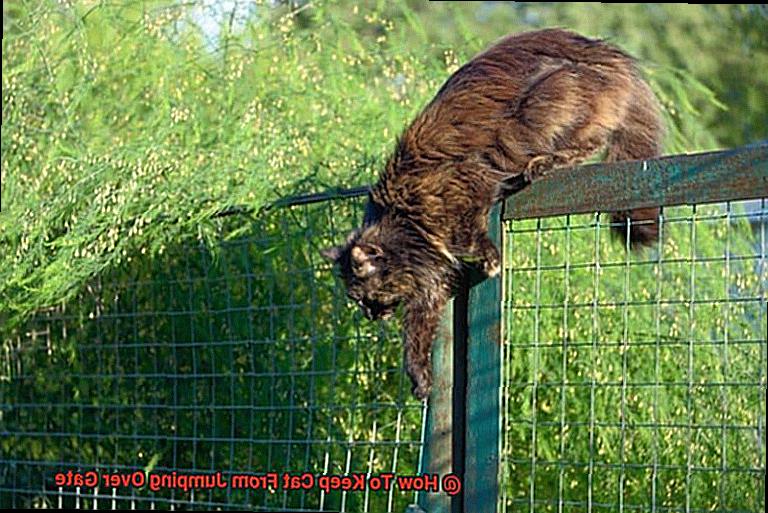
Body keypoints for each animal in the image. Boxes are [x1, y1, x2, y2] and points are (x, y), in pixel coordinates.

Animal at [320, 29, 664, 400]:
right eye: (357, 300)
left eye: (366, 296)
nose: (371, 315)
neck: (403, 221)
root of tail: (609, 54)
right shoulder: (431, 282)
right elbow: (416, 336)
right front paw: (420, 379)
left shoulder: (465, 187)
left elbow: (471, 235)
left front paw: (490, 260)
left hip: (550, 99)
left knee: (590, 142)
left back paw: (543, 163)